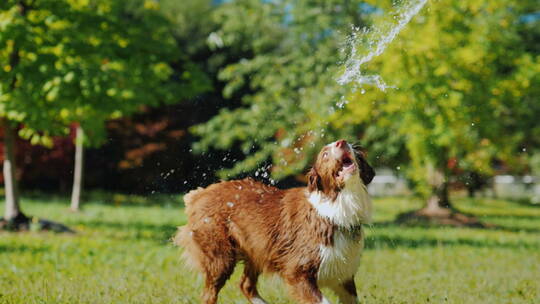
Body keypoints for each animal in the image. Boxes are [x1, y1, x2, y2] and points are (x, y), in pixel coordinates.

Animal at [175, 140, 374, 304]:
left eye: (350, 145)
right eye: (325, 154)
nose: (341, 142)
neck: (335, 209)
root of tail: (200, 193)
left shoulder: (344, 276)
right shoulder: (298, 272)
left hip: (256, 249)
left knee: (246, 285)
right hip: (220, 257)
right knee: (209, 294)